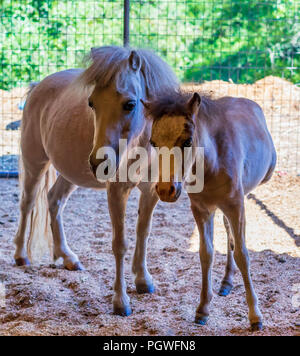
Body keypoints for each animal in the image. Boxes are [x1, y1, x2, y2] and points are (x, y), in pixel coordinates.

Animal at [14, 46, 178, 316]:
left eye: (130, 104)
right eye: (91, 103)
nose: (99, 162)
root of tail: (38, 86)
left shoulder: (151, 192)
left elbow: (143, 233)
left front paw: (143, 280)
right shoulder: (117, 192)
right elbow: (119, 244)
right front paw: (121, 301)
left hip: (69, 173)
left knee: (54, 201)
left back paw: (67, 257)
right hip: (35, 162)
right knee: (27, 203)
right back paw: (20, 256)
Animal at [143, 90, 276, 330]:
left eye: (187, 141)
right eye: (153, 142)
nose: (165, 190)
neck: (212, 161)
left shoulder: (235, 205)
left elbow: (242, 254)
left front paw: (255, 316)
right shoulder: (201, 209)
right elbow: (206, 254)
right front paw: (203, 309)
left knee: (234, 236)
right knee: (228, 233)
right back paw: (226, 282)